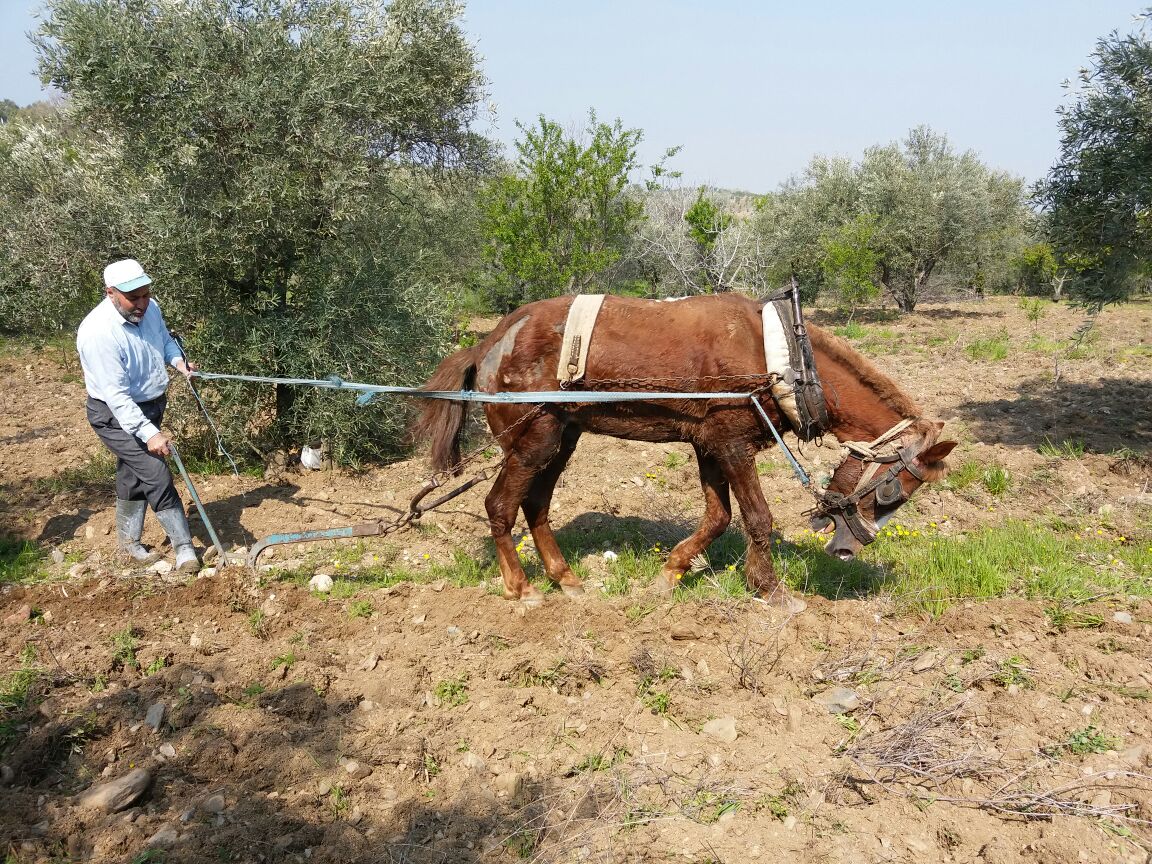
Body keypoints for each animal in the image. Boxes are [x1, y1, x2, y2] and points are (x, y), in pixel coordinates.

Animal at [412, 294, 953, 603]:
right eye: (894, 492)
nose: (846, 550)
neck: (780, 357)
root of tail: (487, 344)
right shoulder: (732, 444)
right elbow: (757, 517)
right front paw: (771, 589)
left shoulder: (709, 445)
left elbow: (718, 517)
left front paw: (672, 571)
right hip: (532, 439)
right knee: (500, 506)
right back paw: (521, 588)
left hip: (561, 438)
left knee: (536, 506)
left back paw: (565, 579)